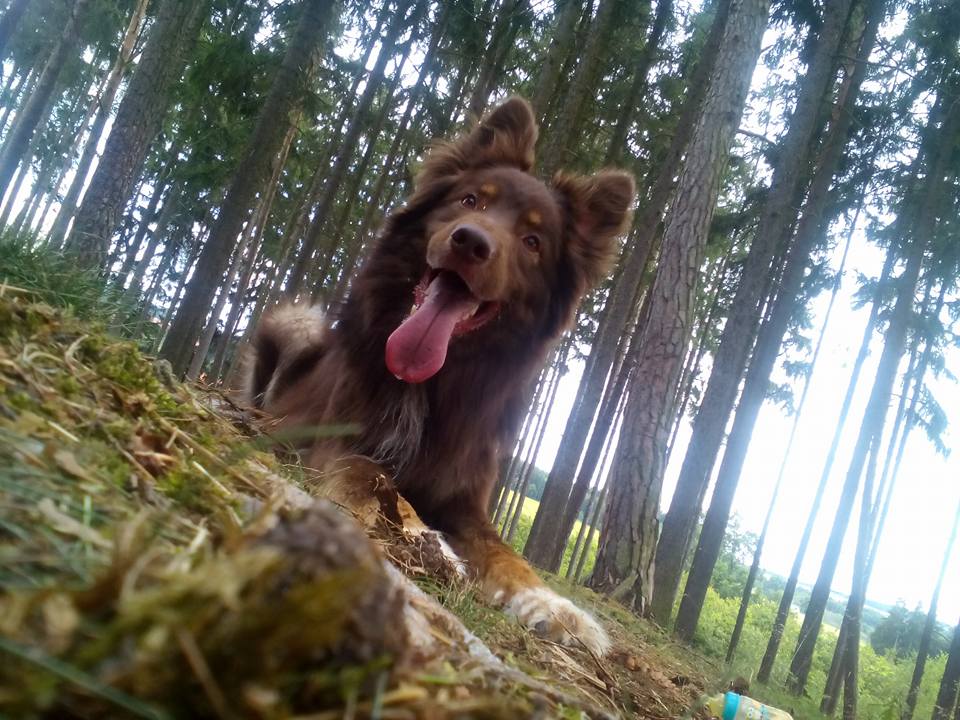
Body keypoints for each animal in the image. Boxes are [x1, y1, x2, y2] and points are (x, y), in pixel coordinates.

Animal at [248, 98, 634, 655]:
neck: (436, 382)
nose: (470, 242)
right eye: (470, 200)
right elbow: (374, 481)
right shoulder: (343, 444)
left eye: (533, 241)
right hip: (295, 327)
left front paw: (554, 605)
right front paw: (424, 542)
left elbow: (508, 555)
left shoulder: (466, 500)